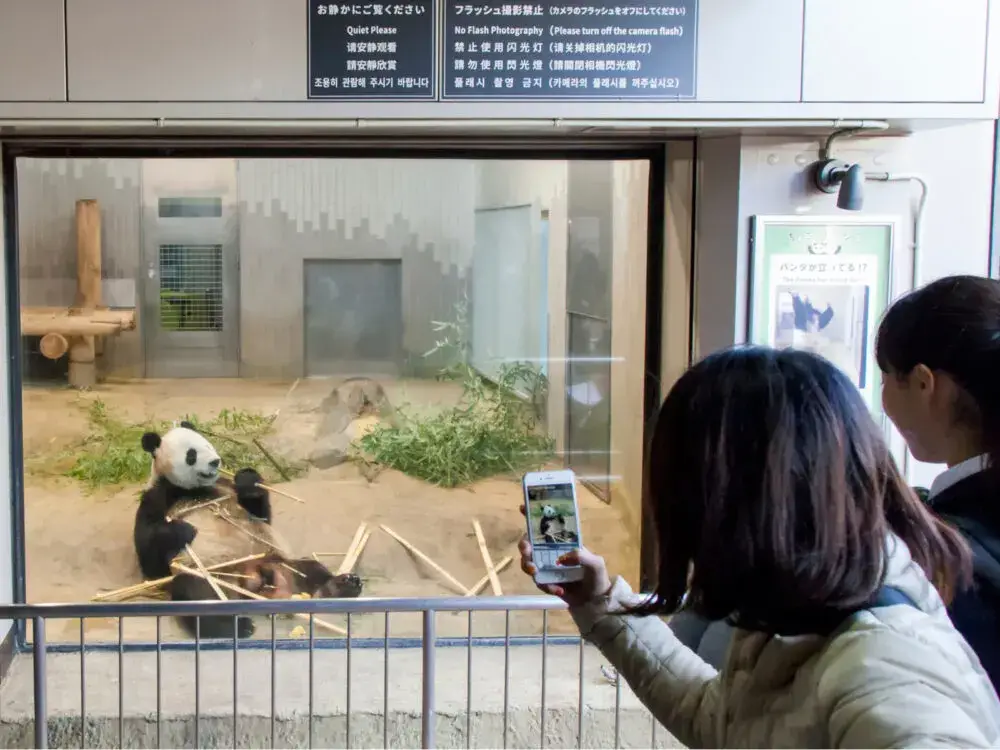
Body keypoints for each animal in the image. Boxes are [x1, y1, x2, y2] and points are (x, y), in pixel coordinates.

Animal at [133, 424, 364, 640]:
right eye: (191, 454)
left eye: (208, 444)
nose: (215, 462)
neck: (194, 489)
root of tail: (256, 581)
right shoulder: (158, 495)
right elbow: (151, 560)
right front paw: (182, 530)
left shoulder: (226, 485)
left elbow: (261, 515)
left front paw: (249, 481)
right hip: (212, 574)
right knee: (195, 594)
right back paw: (236, 627)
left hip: (280, 562)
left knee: (311, 568)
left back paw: (341, 586)